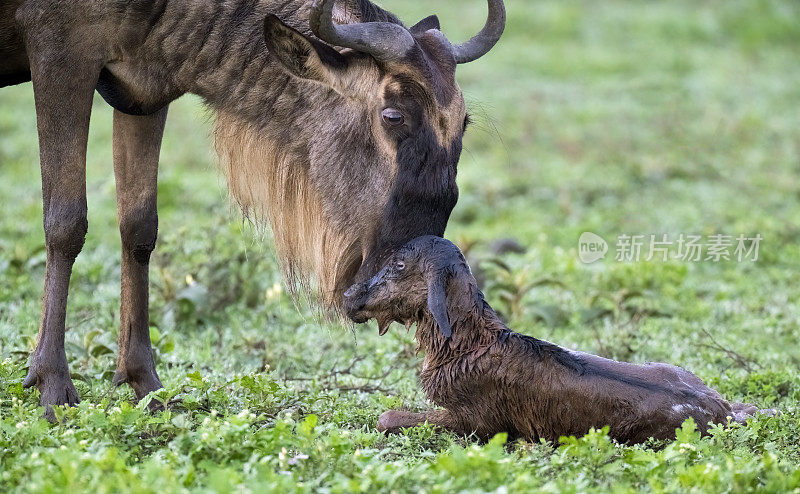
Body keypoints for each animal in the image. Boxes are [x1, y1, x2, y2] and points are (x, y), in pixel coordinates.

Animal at [342, 235, 756, 444]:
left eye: (398, 265)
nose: (349, 295)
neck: (464, 344)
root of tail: (721, 414)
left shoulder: (479, 419)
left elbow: (387, 417)